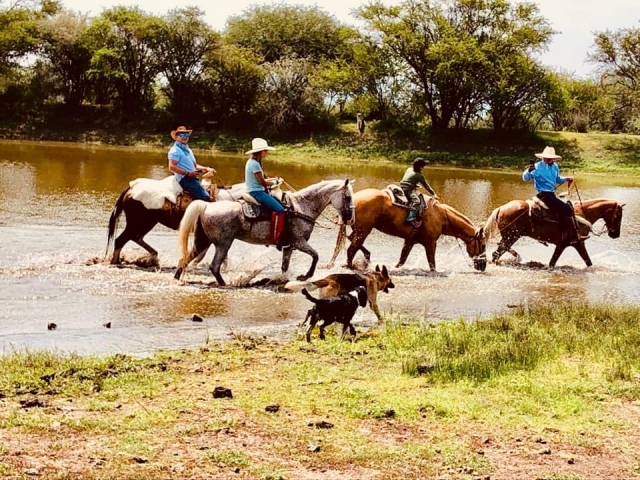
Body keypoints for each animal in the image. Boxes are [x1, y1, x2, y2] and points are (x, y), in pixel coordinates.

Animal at [105, 175, 246, 264]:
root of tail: (130, 189)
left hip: (146, 223)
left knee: (136, 237)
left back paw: (153, 256)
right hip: (138, 223)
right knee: (121, 239)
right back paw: (116, 261)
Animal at [174, 179, 356, 286]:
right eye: (347, 197)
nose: (351, 219)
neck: (300, 207)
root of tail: (206, 206)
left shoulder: (289, 246)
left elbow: (285, 266)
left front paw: (284, 278)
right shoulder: (298, 242)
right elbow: (315, 256)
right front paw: (305, 276)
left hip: (203, 241)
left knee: (185, 258)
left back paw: (177, 277)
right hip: (223, 244)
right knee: (214, 266)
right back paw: (225, 284)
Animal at [329, 188, 487, 272]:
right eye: (484, 245)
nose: (483, 265)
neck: (441, 216)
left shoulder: (410, 240)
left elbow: (402, 259)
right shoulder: (431, 244)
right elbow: (432, 264)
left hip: (359, 230)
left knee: (352, 241)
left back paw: (366, 258)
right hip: (364, 231)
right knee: (351, 249)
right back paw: (351, 266)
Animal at [483, 197, 624, 267]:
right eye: (618, 216)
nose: (615, 234)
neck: (582, 214)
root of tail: (501, 208)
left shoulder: (570, 244)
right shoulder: (572, 243)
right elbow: (586, 261)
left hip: (510, 236)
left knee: (499, 251)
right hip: (511, 236)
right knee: (498, 252)